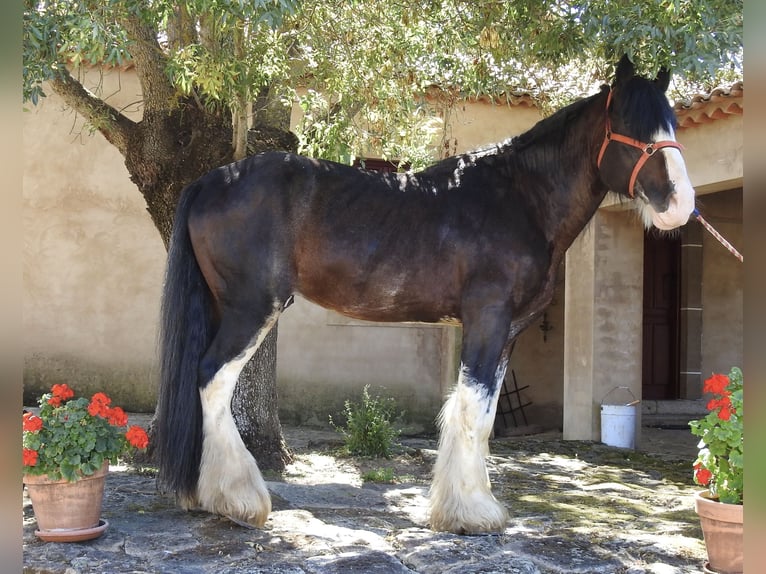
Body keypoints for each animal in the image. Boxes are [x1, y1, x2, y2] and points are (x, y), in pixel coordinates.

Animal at [154, 56, 696, 536]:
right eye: (630, 126)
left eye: (671, 124)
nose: (680, 203)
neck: (519, 199)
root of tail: (211, 180)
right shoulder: (486, 319)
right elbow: (473, 411)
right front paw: (474, 514)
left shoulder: (507, 332)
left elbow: (483, 413)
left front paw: (464, 508)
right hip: (251, 310)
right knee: (212, 380)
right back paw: (239, 500)